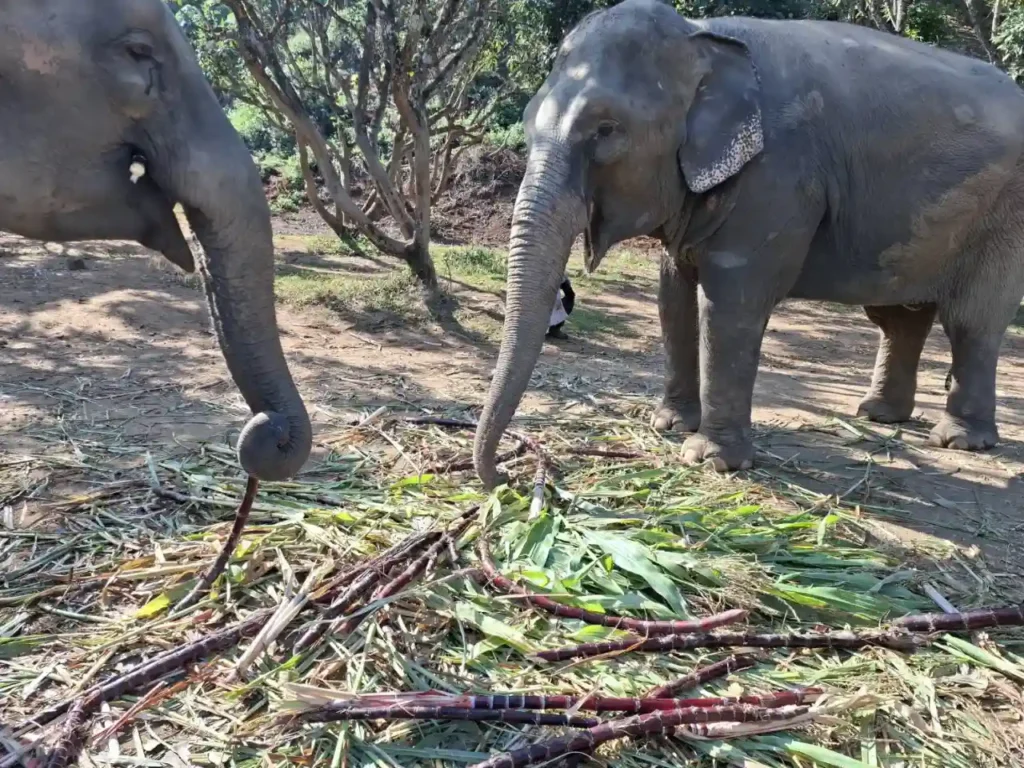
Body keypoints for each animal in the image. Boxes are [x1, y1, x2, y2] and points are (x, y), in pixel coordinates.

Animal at [473, 0, 1024, 486]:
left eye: (607, 130)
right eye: (528, 123)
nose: (507, 475)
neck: (702, 37)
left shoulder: (778, 177)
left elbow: (729, 303)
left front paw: (711, 461)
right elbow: (672, 295)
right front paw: (668, 425)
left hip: (1005, 218)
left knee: (972, 320)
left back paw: (959, 440)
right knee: (899, 318)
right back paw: (877, 415)